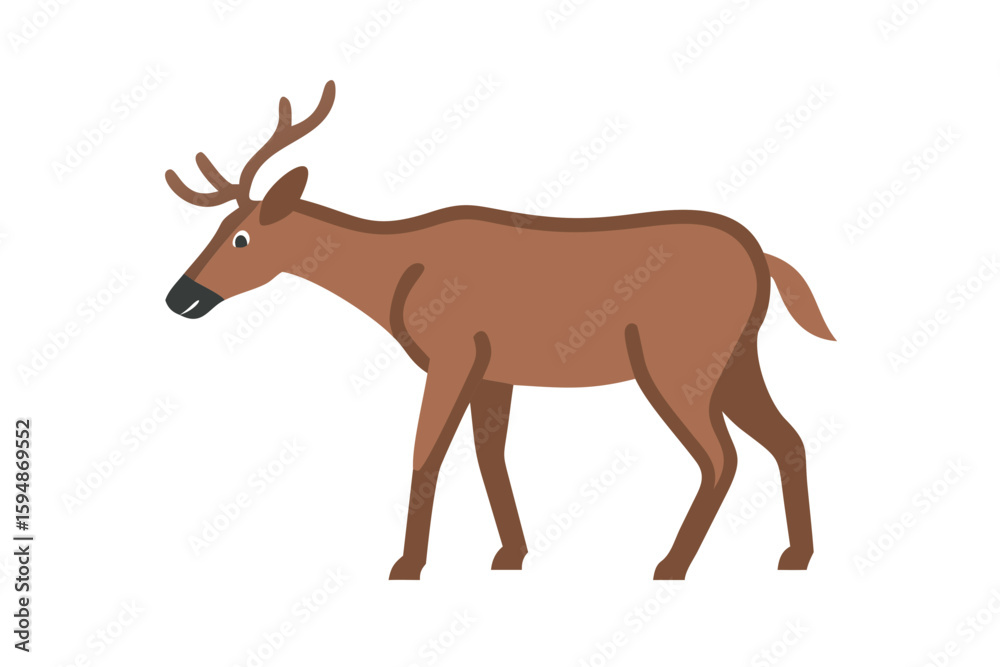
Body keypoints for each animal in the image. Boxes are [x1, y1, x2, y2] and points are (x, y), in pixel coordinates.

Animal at [165, 81, 835, 580]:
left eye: (241, 238)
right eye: (218, 230)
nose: (180, 297)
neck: (392, 281)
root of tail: (764, 260)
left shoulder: (453, 353)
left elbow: (426, 451)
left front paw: (408, 564)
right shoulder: (494, 370)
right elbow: (491, 455)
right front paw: (511, 553)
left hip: (678, 361)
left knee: (722, 456)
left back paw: (671, 563)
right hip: (735, 358)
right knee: (788, 439)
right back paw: (796, 554)